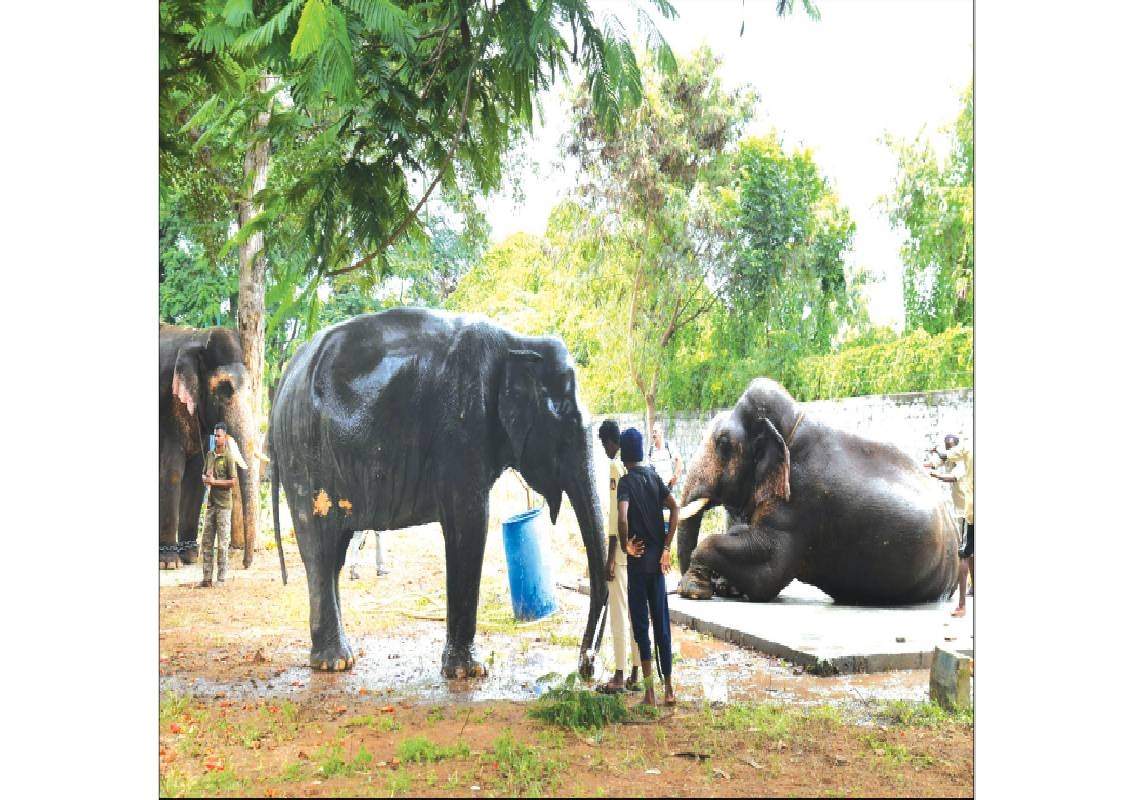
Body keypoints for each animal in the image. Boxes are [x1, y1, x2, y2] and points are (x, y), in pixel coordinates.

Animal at [159, 323, 259, 569]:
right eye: (223, 390)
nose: (245, 564)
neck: (197, 339)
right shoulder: (168, 406)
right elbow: (171, 471)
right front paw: (169, 563)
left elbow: (198, 473)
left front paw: (190, 557)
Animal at [268, 308, 607, 677]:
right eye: (569, 426)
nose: (586, 666)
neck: (518, 341)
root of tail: (284, 381)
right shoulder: (462, 428)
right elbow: (470, 521)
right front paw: (469, 671)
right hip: (305, 453)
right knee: (320, 548)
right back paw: (334, 662)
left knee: (334, 553)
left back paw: (341, 659)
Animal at [675, 378, 958, 605]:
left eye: (723, 443)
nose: (708, 585)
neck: (793, 424)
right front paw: (723, 586)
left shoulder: (800, 502)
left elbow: (767, 575)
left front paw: (694, 590)